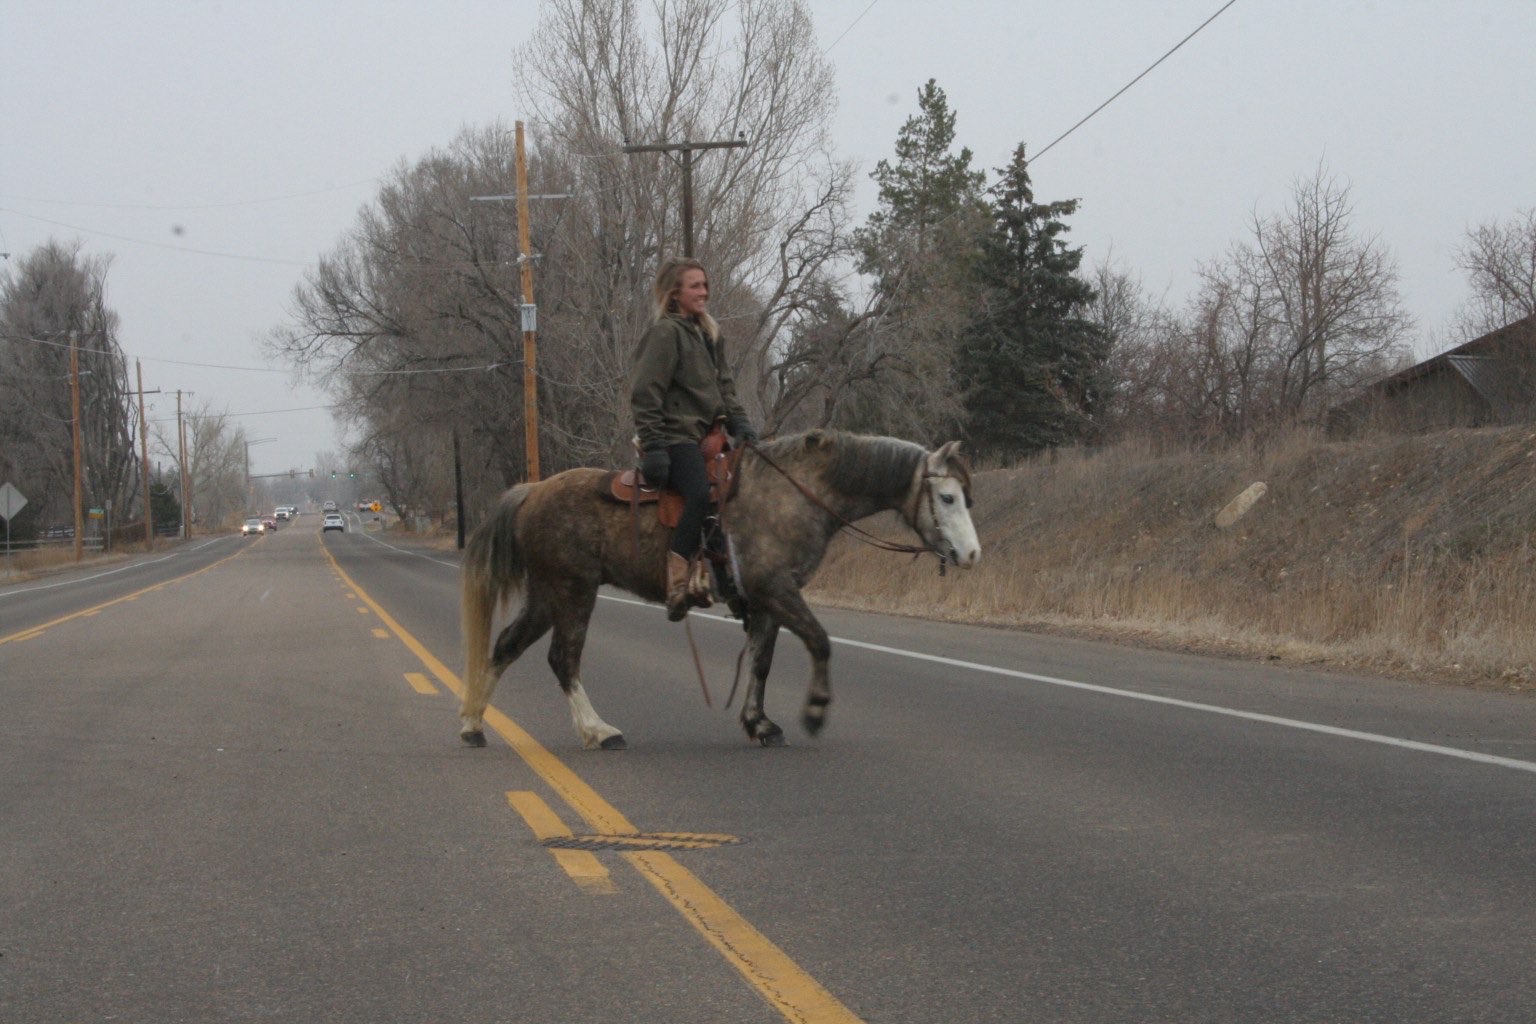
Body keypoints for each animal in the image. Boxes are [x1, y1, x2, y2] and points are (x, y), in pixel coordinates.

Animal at [459, 429, 981, 749]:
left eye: (966, 498)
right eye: (947, 497)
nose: (972, 555)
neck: (795, 496)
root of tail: (531, 491)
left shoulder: (767, 601)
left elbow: (762, 662)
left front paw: (760, 723)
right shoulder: (778, 590)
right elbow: (819, 641)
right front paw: (814, 711)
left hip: (548, 594)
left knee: (506, 646)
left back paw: (473, 725)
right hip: (573, 592)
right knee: (563, 659)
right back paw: (599, 731)